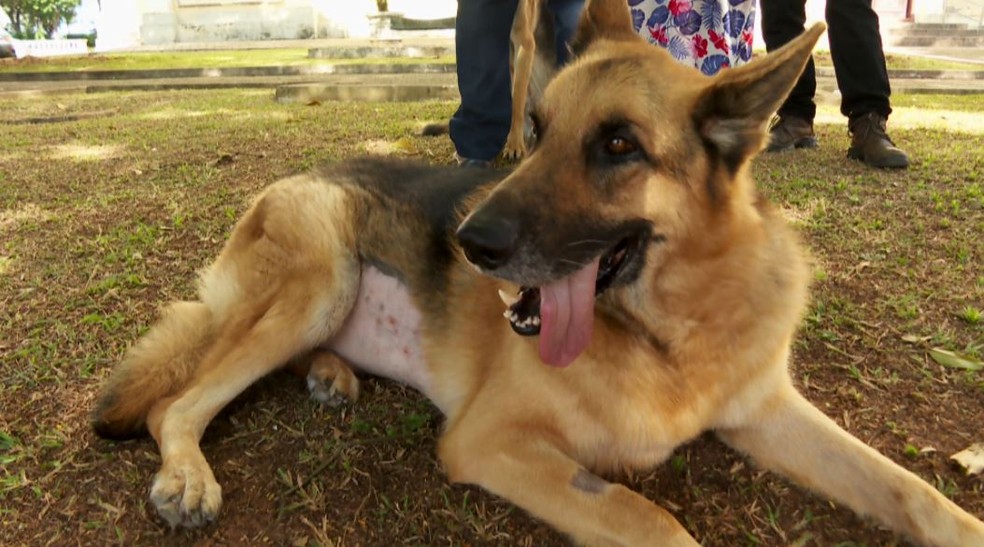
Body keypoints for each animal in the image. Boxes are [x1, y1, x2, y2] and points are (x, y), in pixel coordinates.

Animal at [92, 2, 984, 544]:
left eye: (619, 145)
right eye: (540, 128)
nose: (467, 241)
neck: (672, 330)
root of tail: (298, 174)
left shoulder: (765, 410)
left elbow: (908, 487)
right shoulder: (489, 439)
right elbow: (649, 517)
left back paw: (330, 374)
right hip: (319, 282)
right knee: (176, 401)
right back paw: (189, 470)